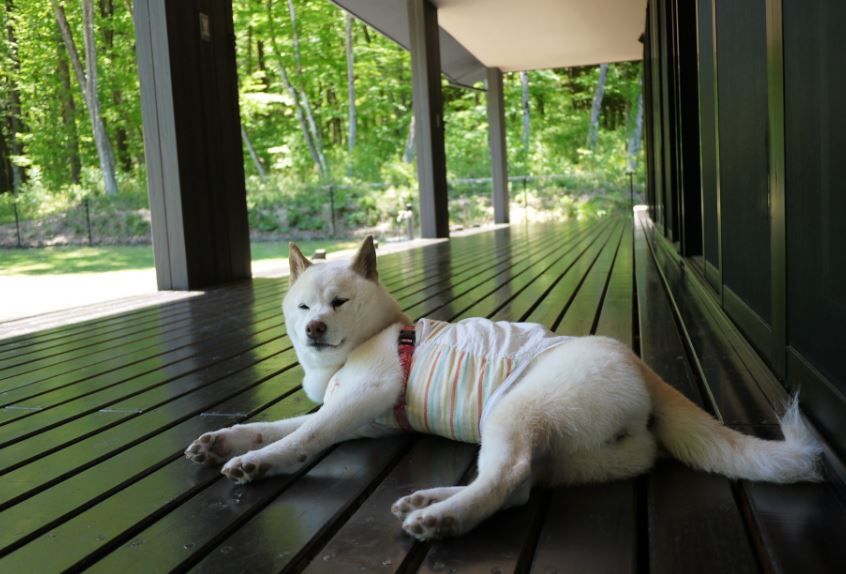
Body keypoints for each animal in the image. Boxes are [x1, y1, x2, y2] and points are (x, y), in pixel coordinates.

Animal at [184, 236, 820, 544]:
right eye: (302, 308)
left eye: (338, 302)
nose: (314, 328)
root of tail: (641, 366)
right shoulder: (357, 417)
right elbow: (277, 426)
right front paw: (224, 441)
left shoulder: (362, 398)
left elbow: (300, 437)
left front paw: (256, 463)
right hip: (573, 447)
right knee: (519, 485)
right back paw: (430, 501)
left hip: (512, 411)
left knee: (509, 478)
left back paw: (442, 520)